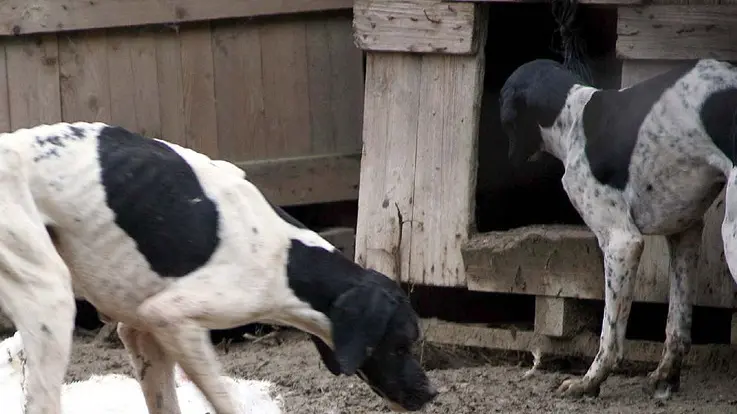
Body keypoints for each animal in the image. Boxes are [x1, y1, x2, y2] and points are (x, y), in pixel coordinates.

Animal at [0, 122, 436, 414]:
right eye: (402, 344)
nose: (432, 393)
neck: (289, 260)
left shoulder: (141, 333)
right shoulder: (171, 319)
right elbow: (227, 402)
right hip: (51, 301)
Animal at [500, 58, 737, 398]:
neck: (573, 118)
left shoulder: (621, 243)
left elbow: (609, 334)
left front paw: (589, 381)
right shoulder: (684, 234)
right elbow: (676, 325)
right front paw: (665, 376)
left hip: (731, 236)